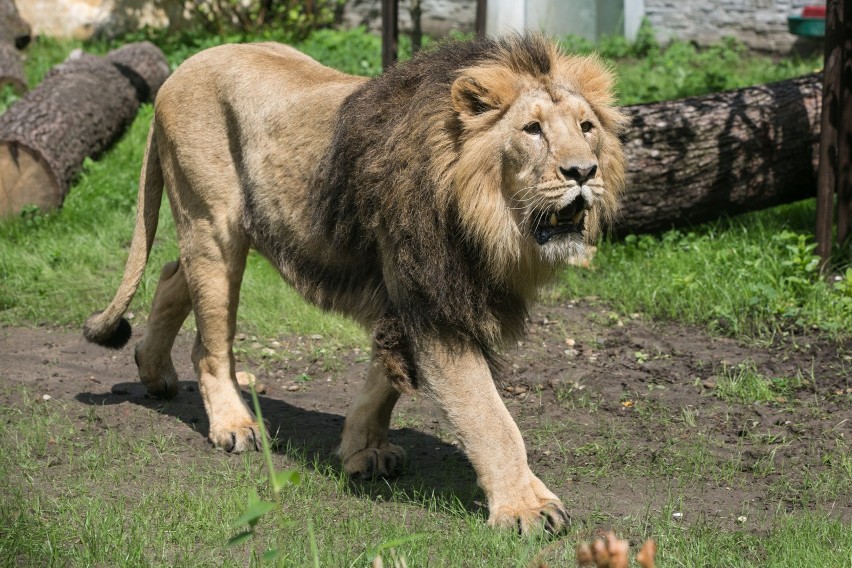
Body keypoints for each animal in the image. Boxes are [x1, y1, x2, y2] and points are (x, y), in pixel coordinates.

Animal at [83, 34, 624, 532]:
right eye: (532, 129)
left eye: (587, 127)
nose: (583, 172)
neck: (489, 217)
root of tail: (179, 71)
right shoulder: (435, 304)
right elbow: (489, 417)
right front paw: (526, 508)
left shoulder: (404, 297)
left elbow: (383, 384)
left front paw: (362, 450)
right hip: (213, 226)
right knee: (209, 345)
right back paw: (233, 425)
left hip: (212, 236)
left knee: (172, 275)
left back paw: (154, 370)